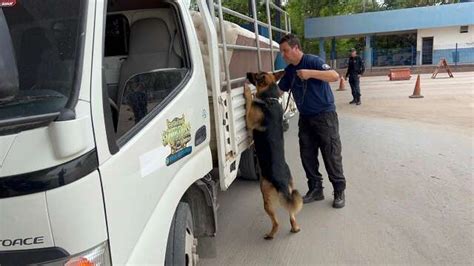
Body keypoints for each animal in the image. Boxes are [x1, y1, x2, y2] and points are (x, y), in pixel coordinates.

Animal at [244, 70, 304, 239]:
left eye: (255, 75)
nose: (246, 73)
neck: (269, 99)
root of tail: (281, 182)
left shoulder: (249, 121)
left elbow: (249, 102)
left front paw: (247, 91)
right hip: (289, 189)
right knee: (291, 213)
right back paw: (295, 228)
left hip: (265, 197)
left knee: (276, 222)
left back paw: (270, 235)